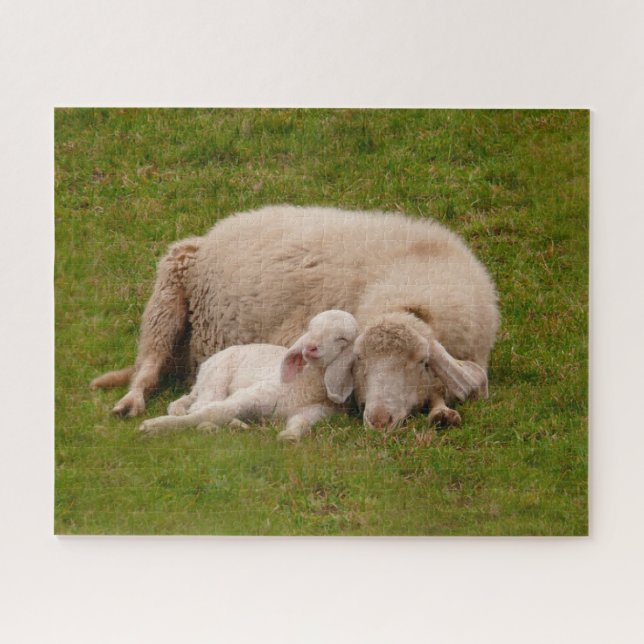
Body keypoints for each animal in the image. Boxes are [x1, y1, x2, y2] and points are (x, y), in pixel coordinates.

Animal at [92, 205, 499, 429]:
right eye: (359, 361)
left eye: (422, 362)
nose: (379, 420)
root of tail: (216, 229)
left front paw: (441, 412)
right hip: (168, 291)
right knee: (148, 364)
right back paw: (131, 402)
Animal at [138, 310, 359, 442]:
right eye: (310, 329)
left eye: (342, 338)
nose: (310, 347)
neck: (305, 384)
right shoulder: (254, 394)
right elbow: (215, 411)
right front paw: (155, 426)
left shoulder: (317, 411)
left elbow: (301, 423)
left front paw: (289, 437)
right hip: (216, 377)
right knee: (202, 404)